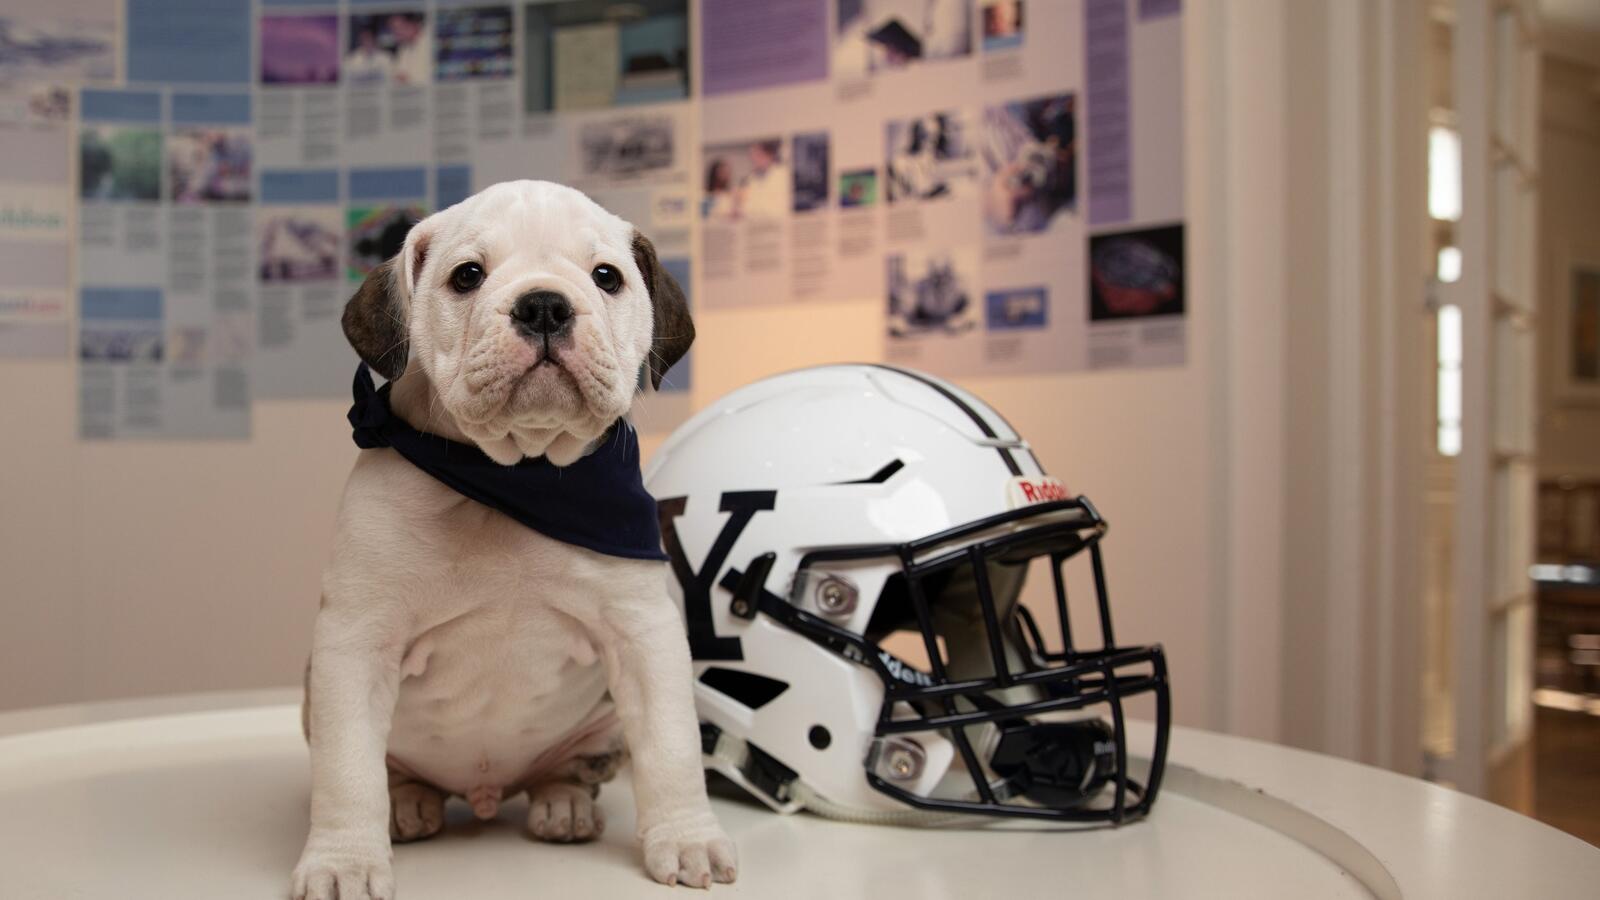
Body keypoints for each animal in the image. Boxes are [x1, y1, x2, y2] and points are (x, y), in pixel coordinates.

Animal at [291, 178, 732, 890]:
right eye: (467, 276)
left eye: (606, 277)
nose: (545, 304)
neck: (515, 475)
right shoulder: (356, 642)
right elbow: (347, 769)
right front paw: (343, 862)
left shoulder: (643, 634)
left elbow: (670, 747)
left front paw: (687, 838)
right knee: (389, 773)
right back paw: (407, 806)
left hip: (599, 728)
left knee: (571, 771)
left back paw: (564, 804)